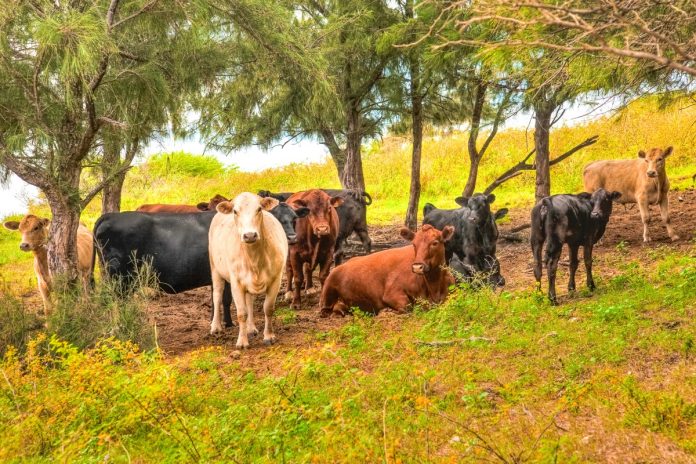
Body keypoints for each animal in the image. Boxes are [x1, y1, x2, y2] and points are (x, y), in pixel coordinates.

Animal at [94, 200, 308, 327]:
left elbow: (219, 299)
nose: (291, 237)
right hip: (120, 279)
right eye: (272, 219)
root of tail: (111, 216)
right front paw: (227, 324)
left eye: (294, 219)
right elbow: (225, 299)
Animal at [209, 192, 288, 348]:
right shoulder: (236, 282)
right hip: (215, 268)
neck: (254, 259)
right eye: (235, 211)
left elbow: (268, 308)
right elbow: (241, 313)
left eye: (259, 209)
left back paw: (251, 328)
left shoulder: (276, 279)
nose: (250, 235)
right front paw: (242, 341)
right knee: (217, 294)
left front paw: (269, 336)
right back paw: (216, 327)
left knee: (249, 301)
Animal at [319, 224, 455, 316]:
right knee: (325, 310)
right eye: (414, 244)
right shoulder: (391, 293)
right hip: (327, 291)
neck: (434, 285)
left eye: (435, 243)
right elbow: (407, 306)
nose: (417, 267)